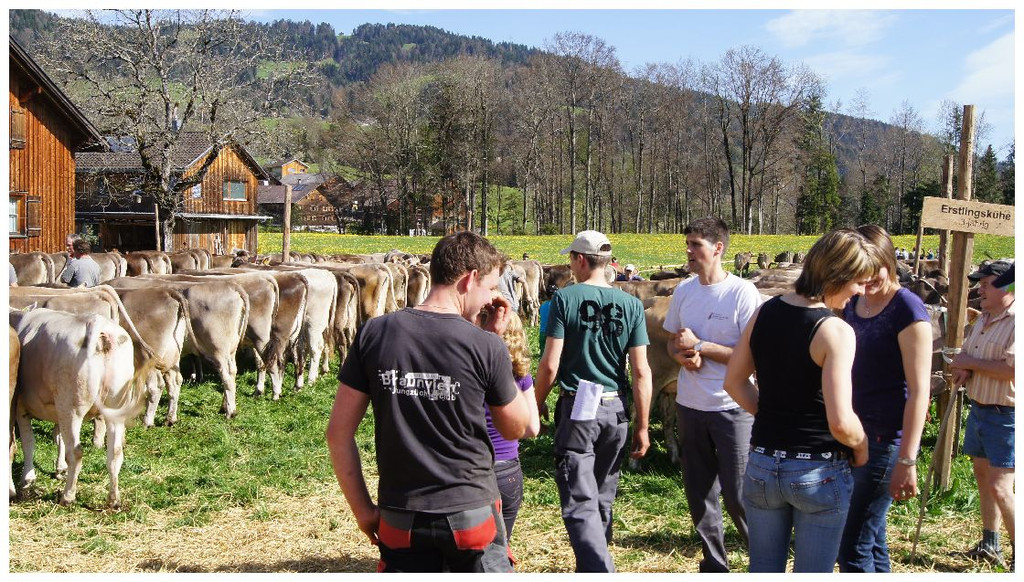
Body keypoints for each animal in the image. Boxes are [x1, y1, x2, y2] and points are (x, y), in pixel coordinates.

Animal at [10, 307, 143, 508]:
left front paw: (28, 477)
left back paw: (68, 496)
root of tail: (100, 326)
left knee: (76, 452)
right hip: (113, 408)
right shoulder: (57, 410)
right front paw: (60, 469)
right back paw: (113, 500)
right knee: (115, 452)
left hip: (73, 408)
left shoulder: (21, 408)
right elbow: (59, 438)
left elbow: (28, 443)